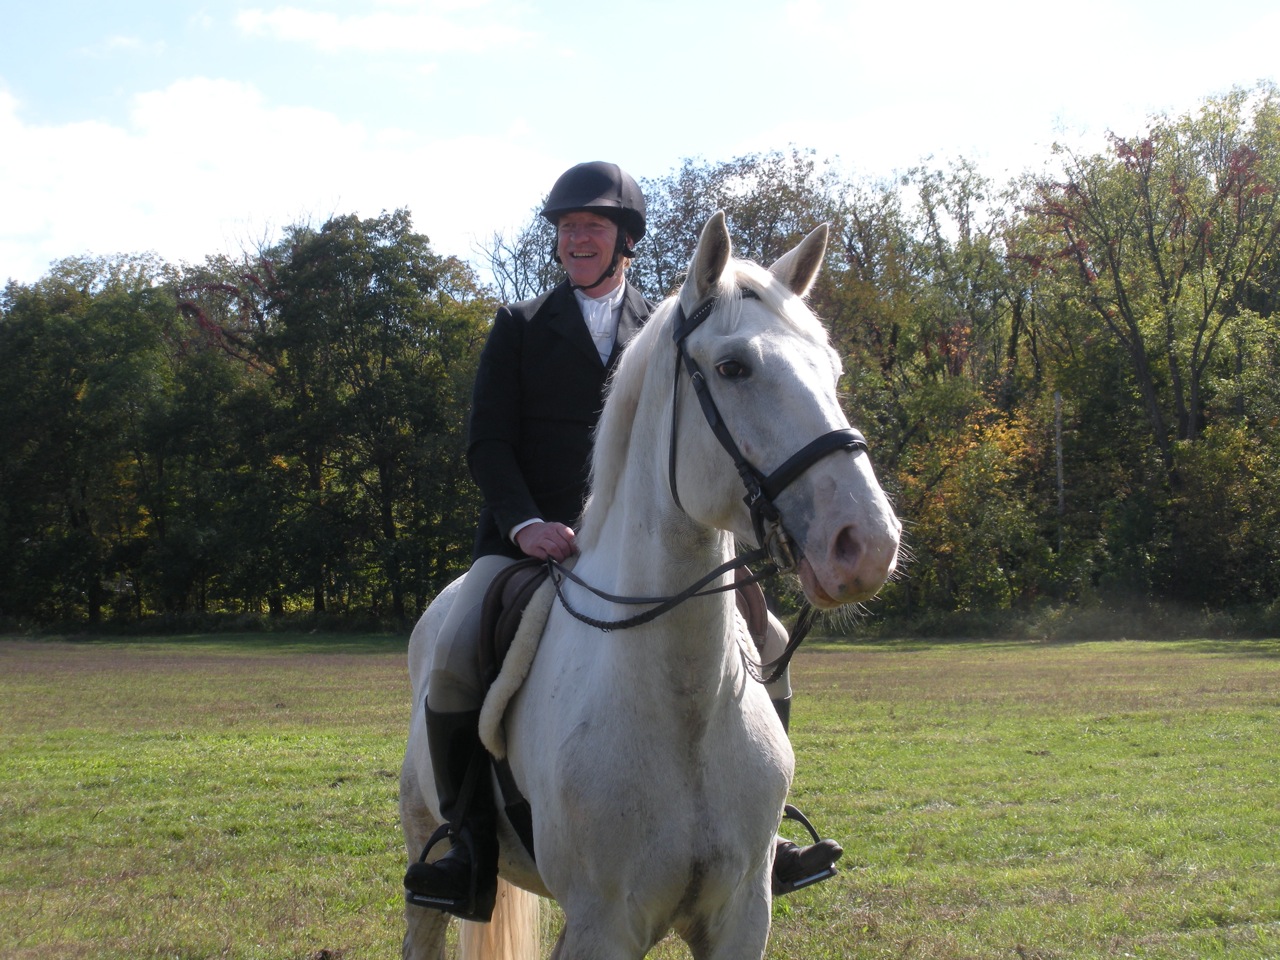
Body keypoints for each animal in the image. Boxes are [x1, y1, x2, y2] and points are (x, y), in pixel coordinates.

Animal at [399, 212, 901, 960]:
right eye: (733, 367)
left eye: (833, 371)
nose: (866, 544)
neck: (682, 699)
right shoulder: (603, 925)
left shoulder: (741, 916)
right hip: (421, 840)